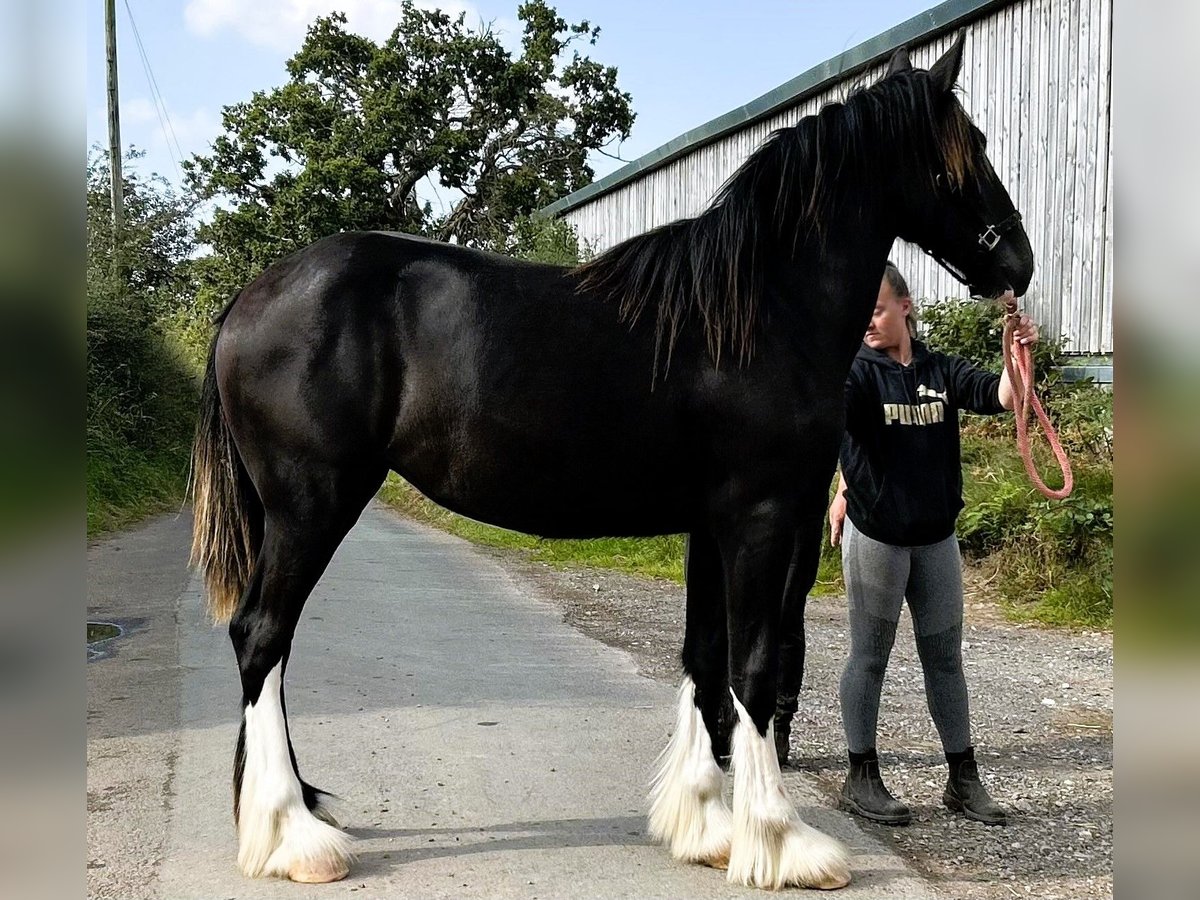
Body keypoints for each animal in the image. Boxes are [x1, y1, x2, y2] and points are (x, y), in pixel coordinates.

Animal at [192, 38, 1036, 892]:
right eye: (970, 149)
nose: (1020, 261)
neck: (761, 310)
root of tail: (248, 299)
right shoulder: (762, 520)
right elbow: (754, 669)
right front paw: (779, 840)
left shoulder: (712, 526)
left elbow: (706, 659)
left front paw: (706, 825)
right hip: (313, 504)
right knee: (262, 636)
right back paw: (294, 836)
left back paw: (297, 808)